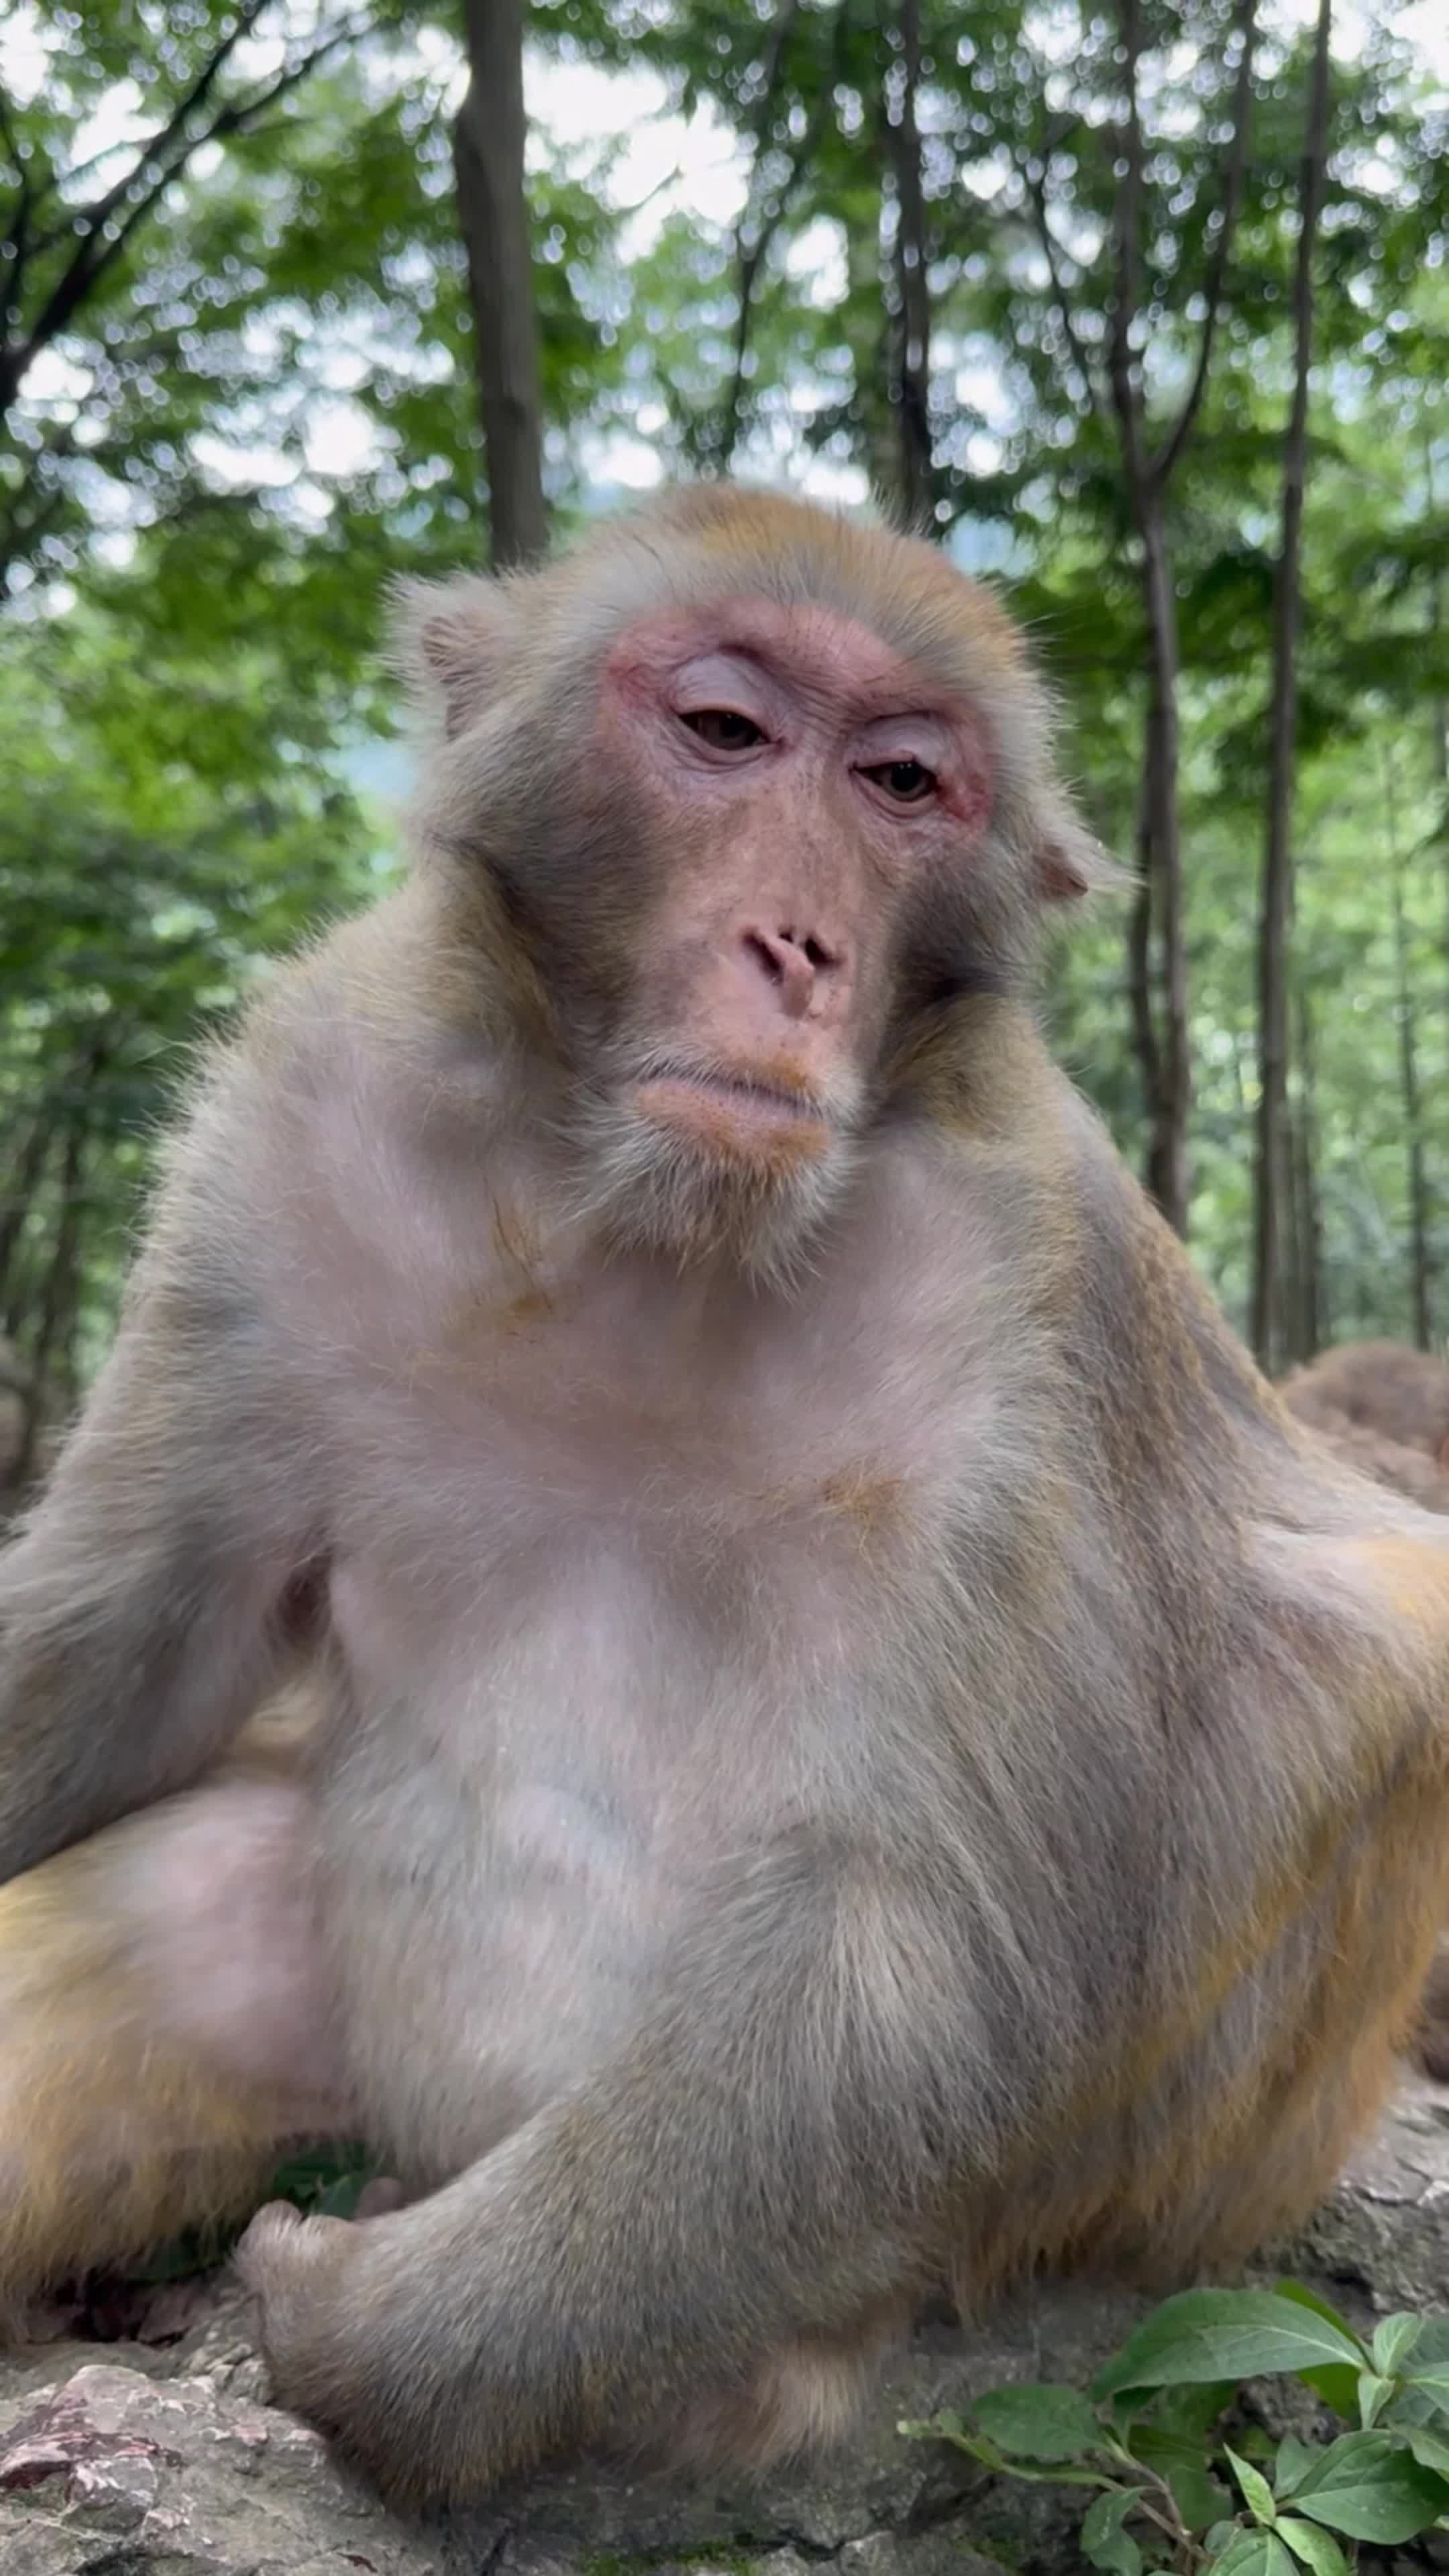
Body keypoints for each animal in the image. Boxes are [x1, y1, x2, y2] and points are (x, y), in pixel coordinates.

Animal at [0, 486, 1444, 2514]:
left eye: (903, 781)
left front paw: (366, 2335)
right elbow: (116, 1646)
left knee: (1352, 1650)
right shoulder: (298, 1116)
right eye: (726, 733)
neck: (643, 1219)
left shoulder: (1029, 1275)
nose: (798, 945)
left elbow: (919, 1936)